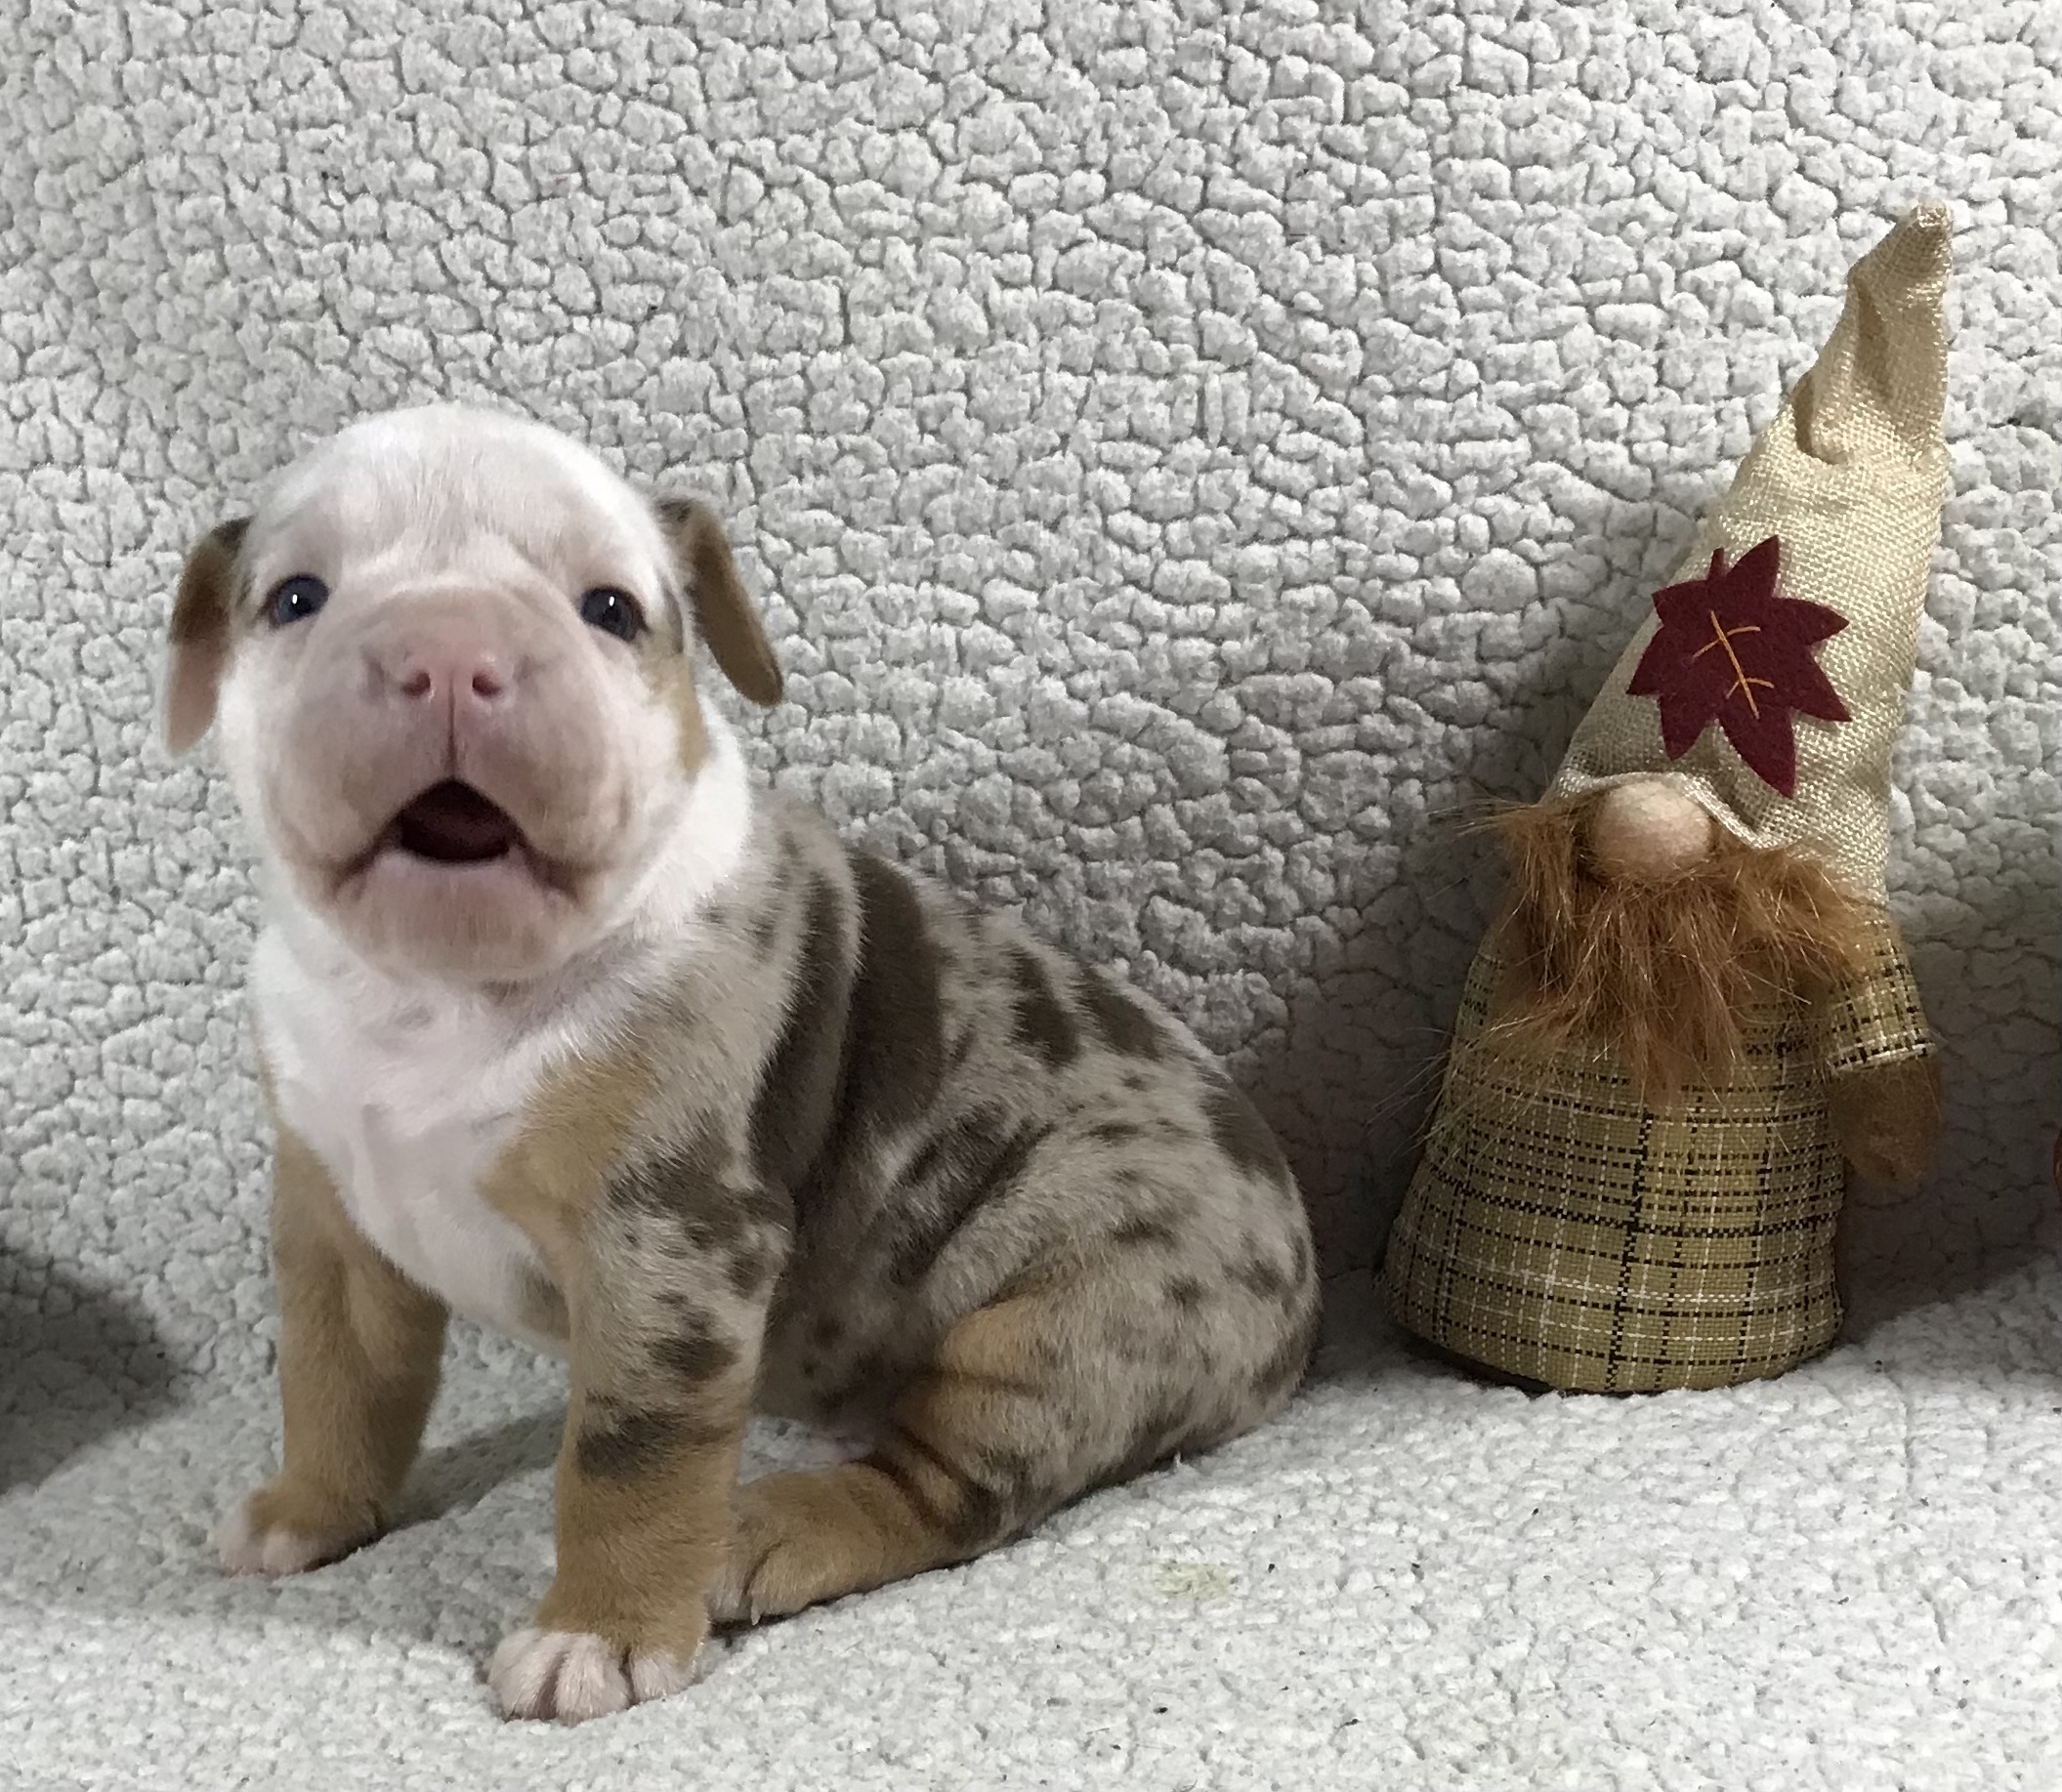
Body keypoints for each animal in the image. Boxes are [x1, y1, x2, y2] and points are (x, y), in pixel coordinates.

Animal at [162, 404, 1320, 1723]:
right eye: (296, 597)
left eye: (609, 608)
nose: (448, 654)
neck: (439, 992)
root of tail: (1301, 1298)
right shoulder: (336, 1222)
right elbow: (336, 1380)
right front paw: (309, 1510)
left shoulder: (664, 1240)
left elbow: (628, 1455)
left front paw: (602, 1632)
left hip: (1066, 1319)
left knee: (947, 1486)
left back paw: (760, 1531)